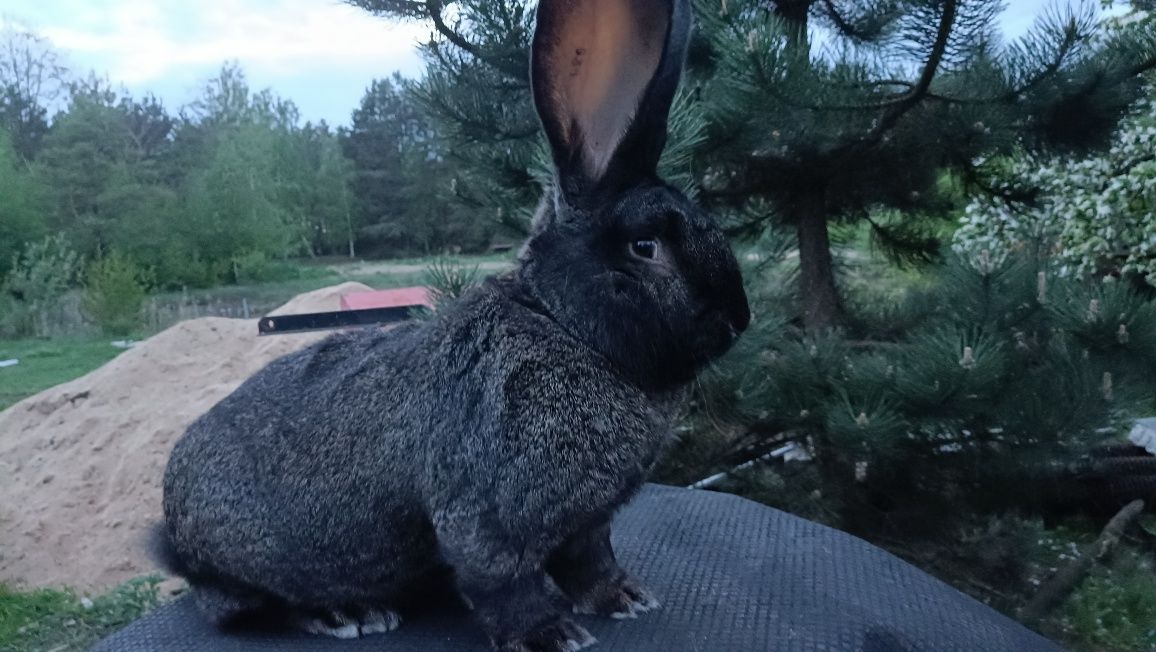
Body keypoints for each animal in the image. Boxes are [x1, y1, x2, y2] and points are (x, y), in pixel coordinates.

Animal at [156, 0, 749, 647]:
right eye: (645, 247)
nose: (739, 320)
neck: (561, 323)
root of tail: (174, 539)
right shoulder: (488, 516)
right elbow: (501, 581)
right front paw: (551, 634)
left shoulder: (586, 524)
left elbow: (591, 564)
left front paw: (625, 599)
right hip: (260, 564)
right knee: (252, 606)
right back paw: (348, 614)